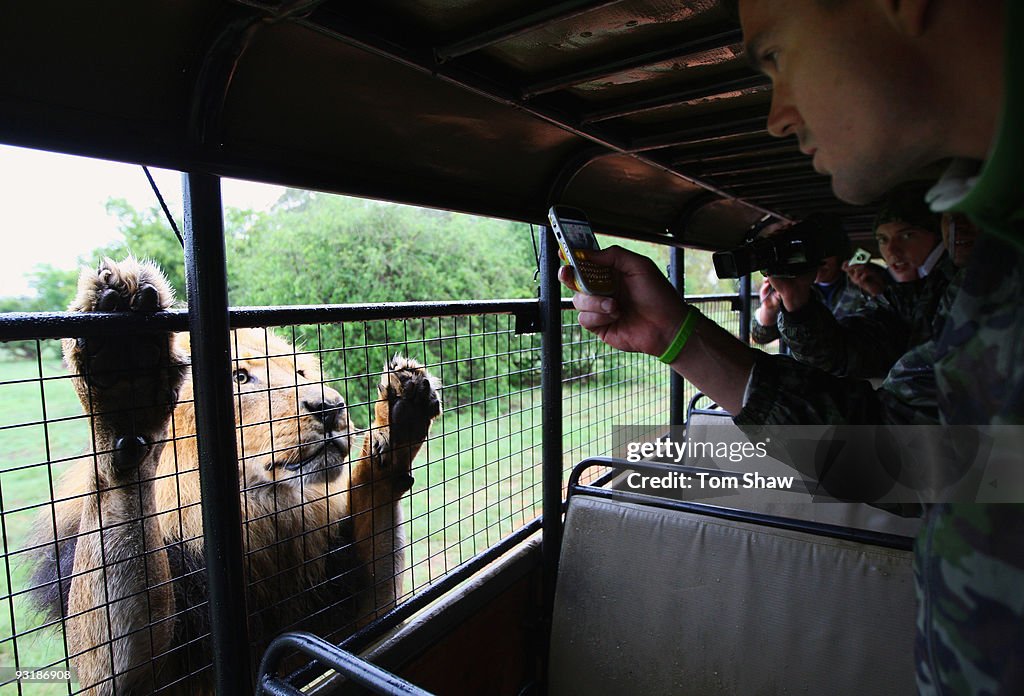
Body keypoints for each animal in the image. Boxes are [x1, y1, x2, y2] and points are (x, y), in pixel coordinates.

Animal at [27, 256, 440, 696]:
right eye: (240, 378)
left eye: (301, 373)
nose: (330, 407)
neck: (264, 510)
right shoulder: (129, 679)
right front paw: (126, 383)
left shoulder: (362, 613)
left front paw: (397, 421)